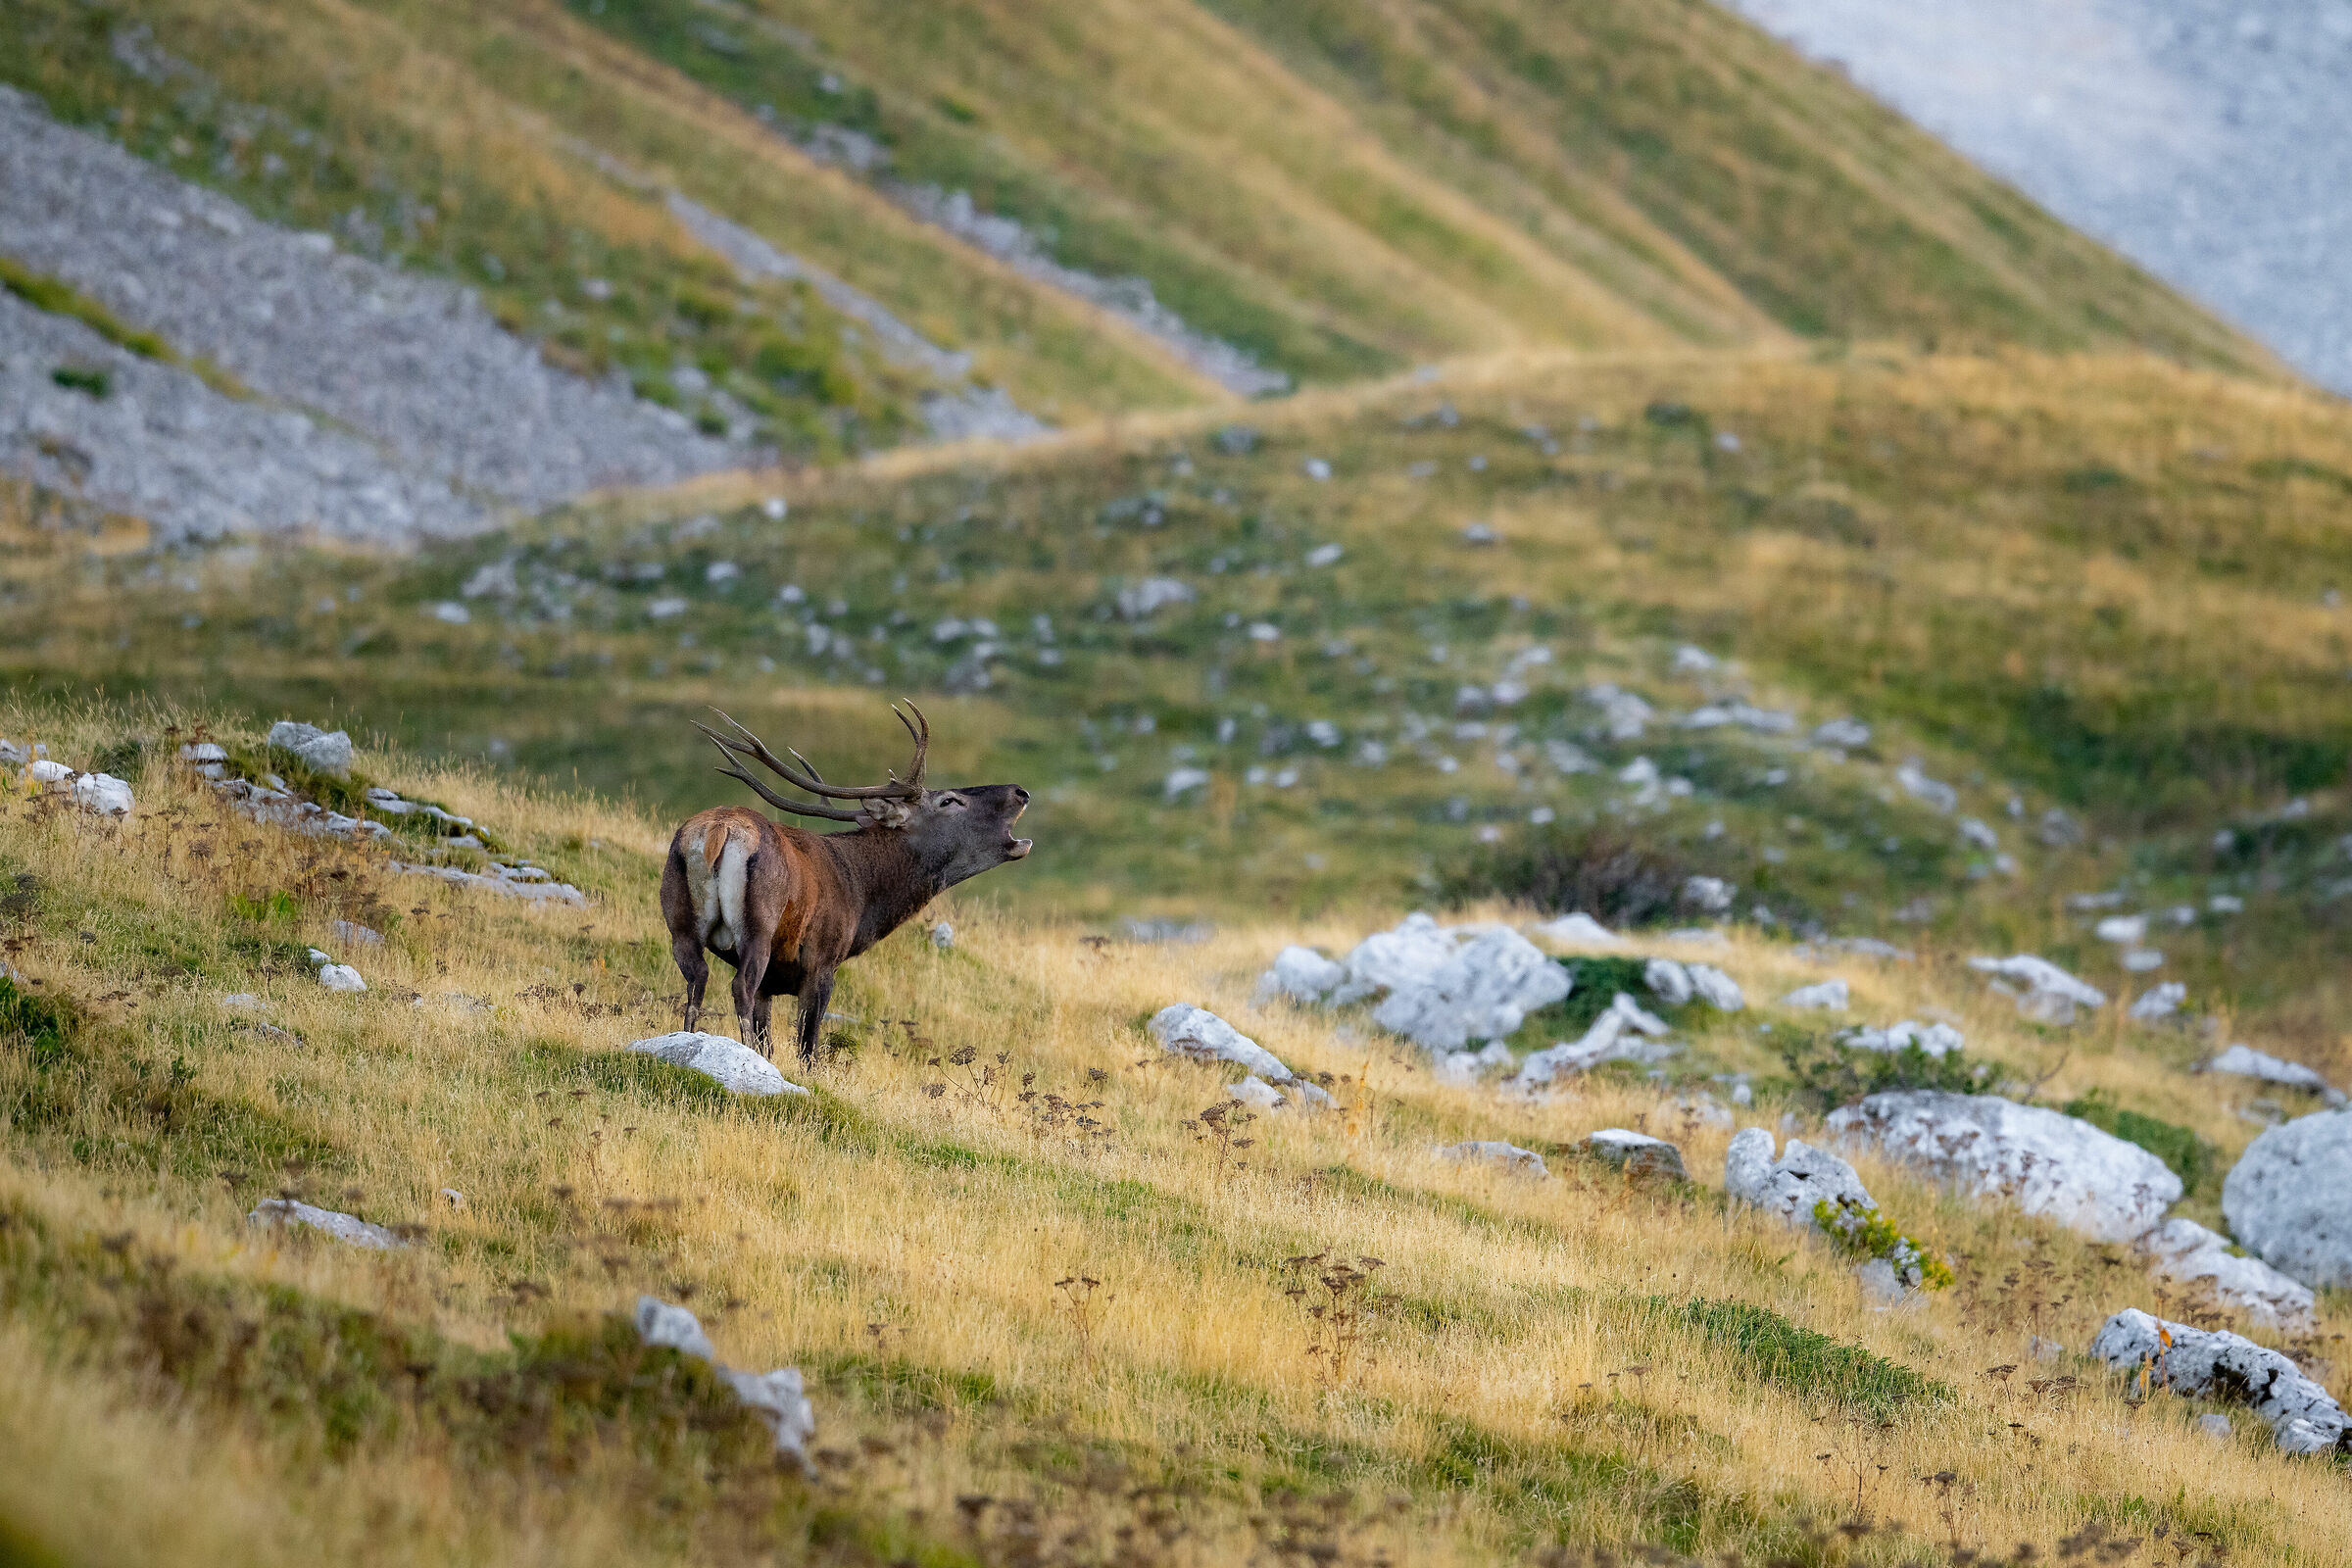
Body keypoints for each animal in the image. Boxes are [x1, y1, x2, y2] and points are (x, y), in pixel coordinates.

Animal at [660, 702, 1031, 1064]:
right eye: (949, 800)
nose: (1020, 791)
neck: (862, 898)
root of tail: (719, 829)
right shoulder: (822, 960)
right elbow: (807, 1048)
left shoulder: (773, 982)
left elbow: (770, 1039)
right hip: (759, 924)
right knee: (740, 986)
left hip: (679, 920)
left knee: (697, 976)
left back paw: (686, 1040)